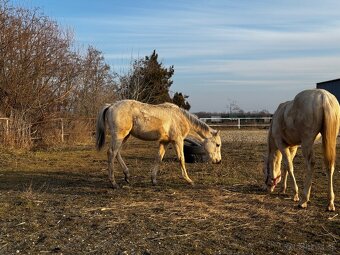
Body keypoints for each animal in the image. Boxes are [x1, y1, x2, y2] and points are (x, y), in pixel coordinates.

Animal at [95, 100, 223, 188]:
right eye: (217, 145)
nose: (218, 161)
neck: (180, 118)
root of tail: (111, 106)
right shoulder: (177, 141)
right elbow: (181, 159)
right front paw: (189, 180)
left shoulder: (164, 142)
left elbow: (158, 158)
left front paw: (154, 180)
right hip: (120, 136)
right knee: (111, 153)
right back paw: (113, 183)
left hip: (125, 136)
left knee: (117, 153)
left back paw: (127, 176)